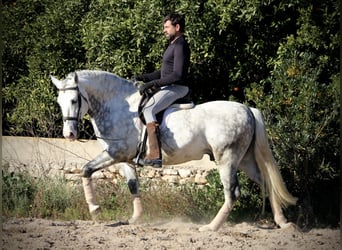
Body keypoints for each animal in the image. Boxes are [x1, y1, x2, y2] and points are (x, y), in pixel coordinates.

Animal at [50, 69, 296, 231]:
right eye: (59, 102)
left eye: (74, 100)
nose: (69, 134)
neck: (120, 107)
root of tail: (247, 109)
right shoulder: (125, 159)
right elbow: (132, 185)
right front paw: (135, 219)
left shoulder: (115, 154)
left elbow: (85, 170)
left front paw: (95, 210)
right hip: (243, 160)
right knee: (266, 181)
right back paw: (283, 223)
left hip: (227, 159)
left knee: (233, 193)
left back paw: (210, 228)